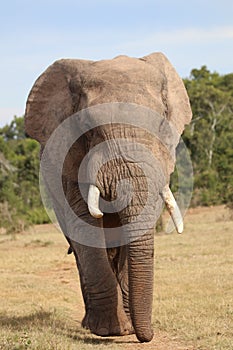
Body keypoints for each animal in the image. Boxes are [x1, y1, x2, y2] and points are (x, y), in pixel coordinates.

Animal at [24, 52, 192, 342]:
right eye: (89, 130)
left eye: (162, 123)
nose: (146, 336)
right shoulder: (70, 161)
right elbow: (85, 227)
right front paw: (110, 330)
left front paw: (126, 329)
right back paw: (89, 324)